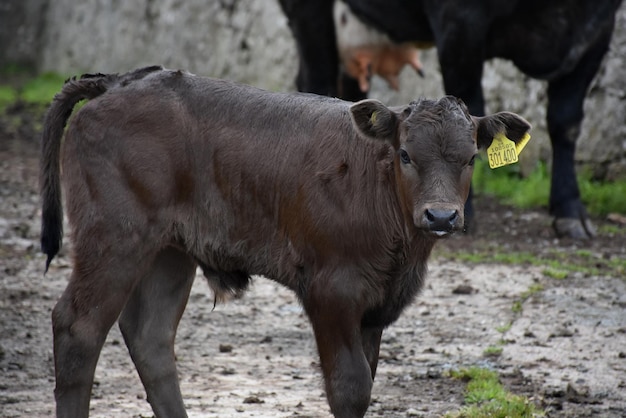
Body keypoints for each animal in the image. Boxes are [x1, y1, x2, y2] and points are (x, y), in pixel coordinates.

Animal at [40, 66, 528, 418]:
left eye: (470, 158)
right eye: (406, 154)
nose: (441, 216)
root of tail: (118, 81)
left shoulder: (376, 308)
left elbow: (367, 381)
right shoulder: (332, 292)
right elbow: (351, 388)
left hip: (169, 251)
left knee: (151, 336)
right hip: (115, 237)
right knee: (79, 328)